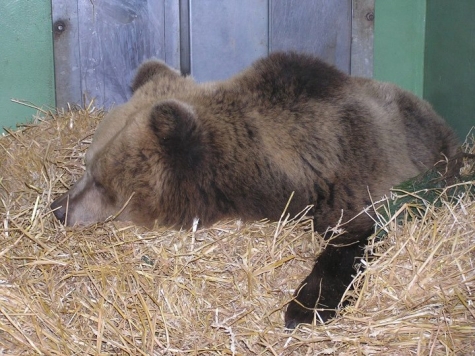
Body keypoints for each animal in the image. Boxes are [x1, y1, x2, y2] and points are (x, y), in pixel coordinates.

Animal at [51, 52, 462, 328]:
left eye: (101, 182)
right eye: (86, 165)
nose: (58, 208)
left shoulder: (359, 170)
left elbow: (354, 238)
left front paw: (303, 309)